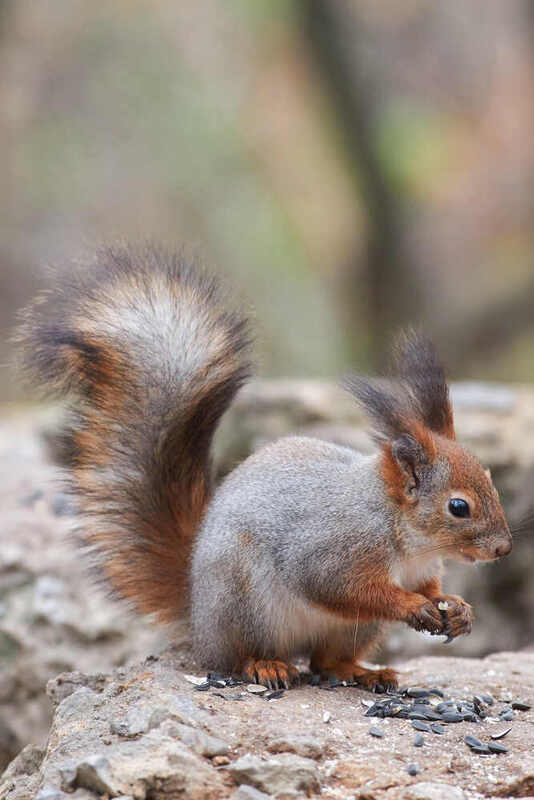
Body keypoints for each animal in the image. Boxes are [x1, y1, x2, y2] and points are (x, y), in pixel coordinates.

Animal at [17, 243, 513, 692]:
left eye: (492, 481)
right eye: (458, 507)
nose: (503, 549)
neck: (403, 530)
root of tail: (198, 616)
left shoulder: (420, 569)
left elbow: (429, 588)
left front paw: (454, 606)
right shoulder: (334, 549)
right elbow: (341, 588)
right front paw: (411, 605)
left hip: (352, 629)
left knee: (325, 661)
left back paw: (363, 672)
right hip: (245, 602)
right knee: (239, 658)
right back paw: (266, 666)